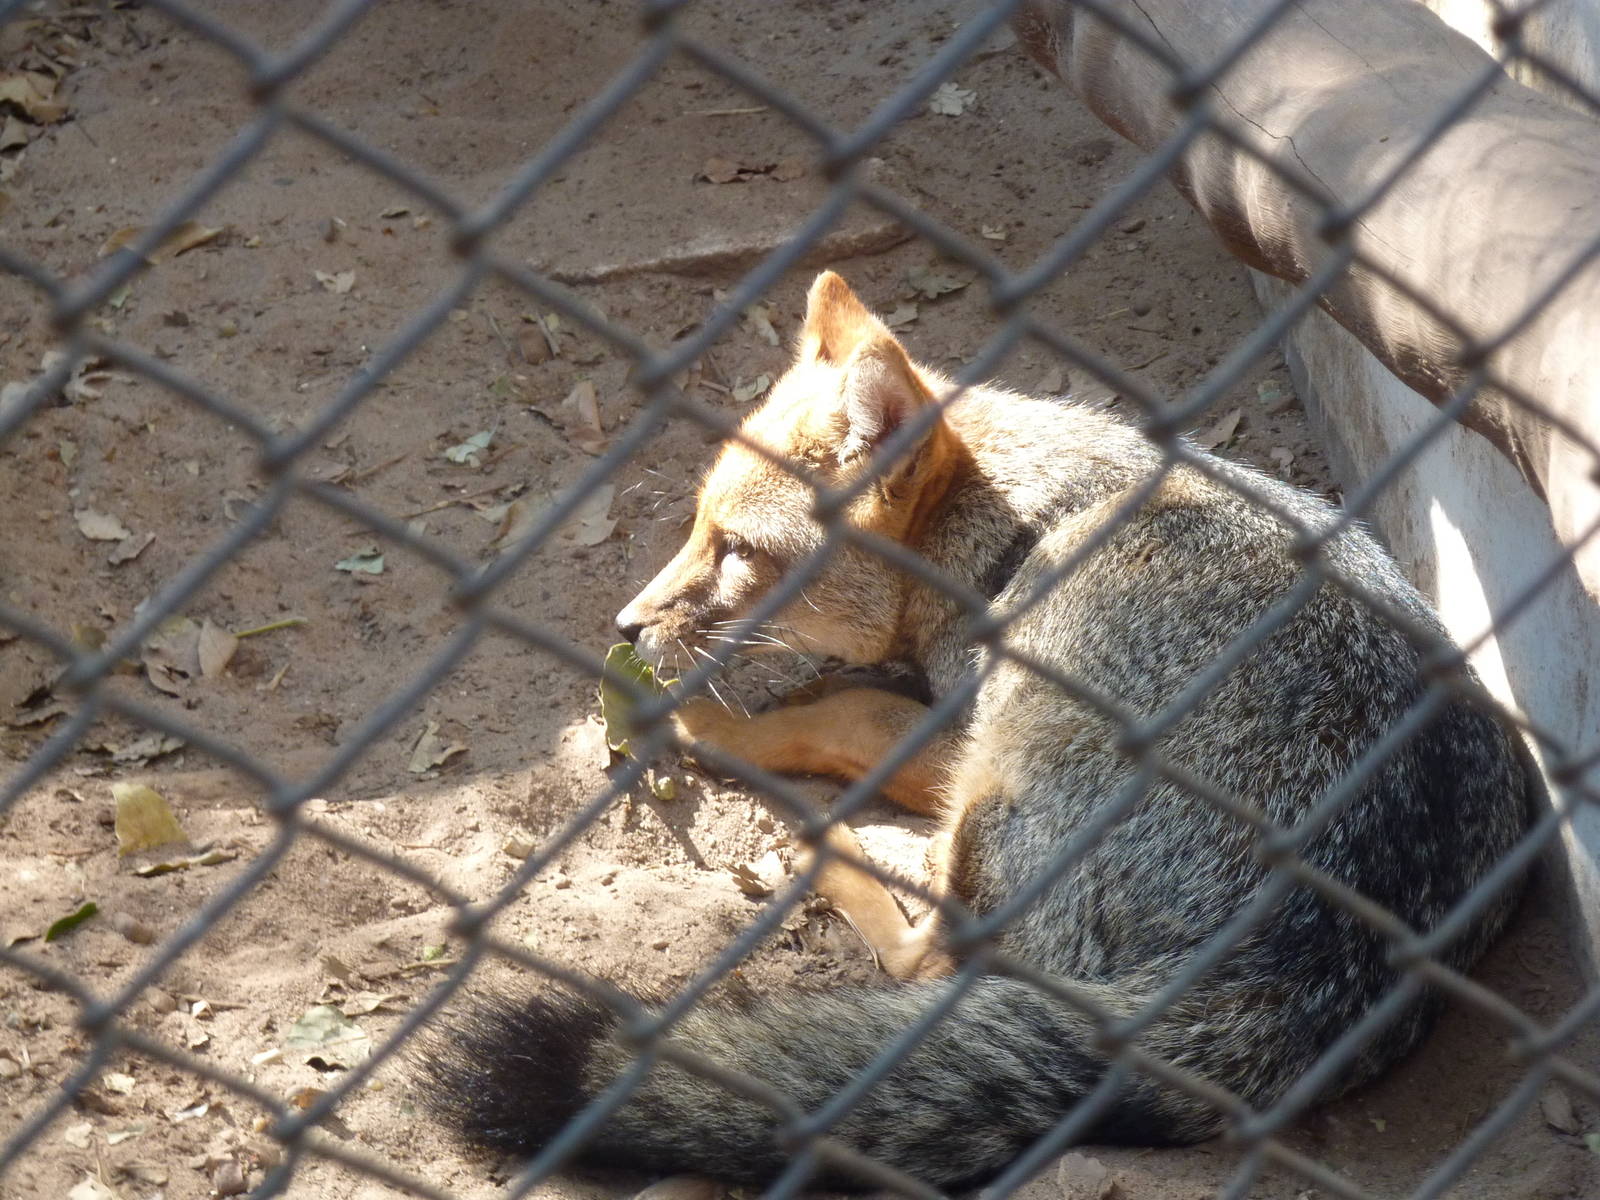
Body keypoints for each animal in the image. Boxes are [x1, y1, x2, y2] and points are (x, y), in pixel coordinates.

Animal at [417, 271, 1530, 1190]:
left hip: (998, 786)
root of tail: (1303, 973)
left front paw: (693, 713)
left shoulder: (962, 724)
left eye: (739, 550)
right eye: (696, 527)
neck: (1014, 531)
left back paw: (828, 853)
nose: (625, 626)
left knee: (924, 962)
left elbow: (852, 712)